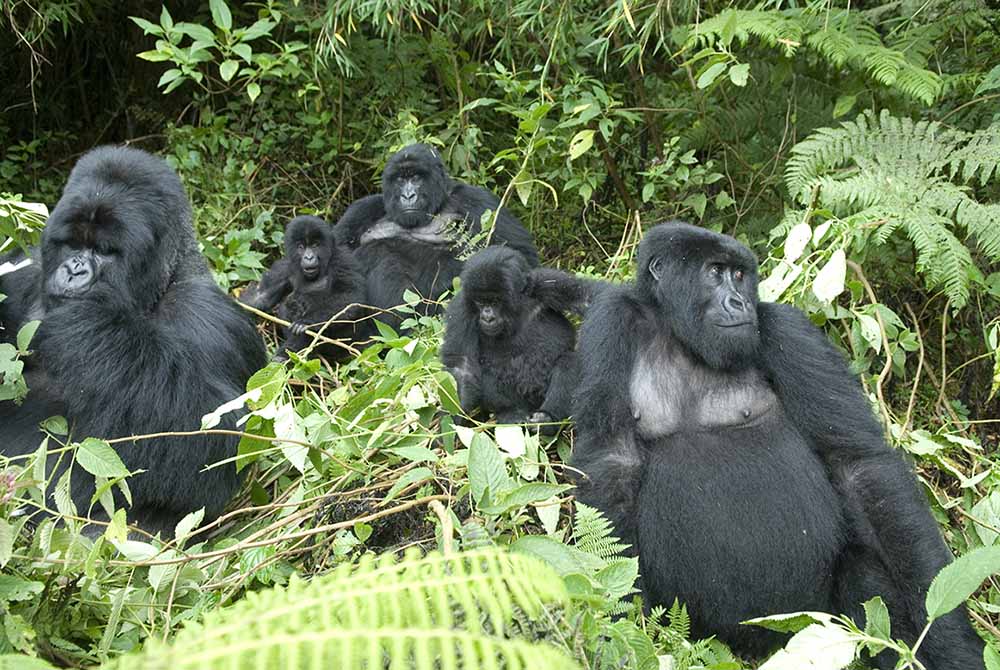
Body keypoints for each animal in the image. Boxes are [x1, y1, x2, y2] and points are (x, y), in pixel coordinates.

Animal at [241, 215, 372, 362]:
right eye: (301, 247)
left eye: (315, 245)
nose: (309, 257)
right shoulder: (283, 267)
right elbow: (261, 297)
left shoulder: (343, 260)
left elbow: (350, 297)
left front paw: (307, 322)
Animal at [334, 144, 540, 328]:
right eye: (400, 179)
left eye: (416, 177)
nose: (408, 195)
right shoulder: (363, 208)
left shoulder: (478, 199)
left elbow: (520, 256)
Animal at [442, 249, 584, 434]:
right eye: (480, 302)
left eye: (495, 301)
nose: (487, 317)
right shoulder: (461, 308)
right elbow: (461, 366)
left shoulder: (545, 281)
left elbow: (587, 300)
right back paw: (512, 413)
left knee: (569, 360)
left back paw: (547, 418)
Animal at [572, 222, 984, 670]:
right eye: (714, 272)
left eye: (739, 275)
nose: (738, 302)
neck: (680, 334)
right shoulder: (610, 321)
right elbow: (612, 464)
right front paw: (623, 627)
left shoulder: (788, 328)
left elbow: (859, 466)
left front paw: (950, 638)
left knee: (863, 573)